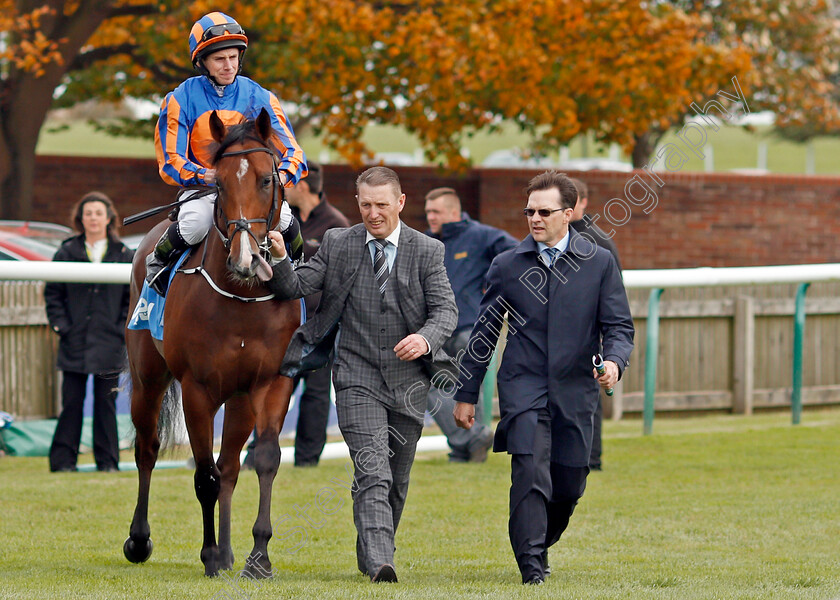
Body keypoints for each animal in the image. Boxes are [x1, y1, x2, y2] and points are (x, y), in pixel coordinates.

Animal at [121, 108, 298, 576]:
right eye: (218, 184)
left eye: (267, 179)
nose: (246, 258)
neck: (241, 296)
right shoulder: (197, 389)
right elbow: (204, 477)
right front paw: (210, 555)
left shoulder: (271, 381)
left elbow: (262, 459)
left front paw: (258, 556)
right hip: (148, 379)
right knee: (147, 449)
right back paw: (139, 540)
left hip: (237, 397)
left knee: (230, 466)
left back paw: (231, 549)